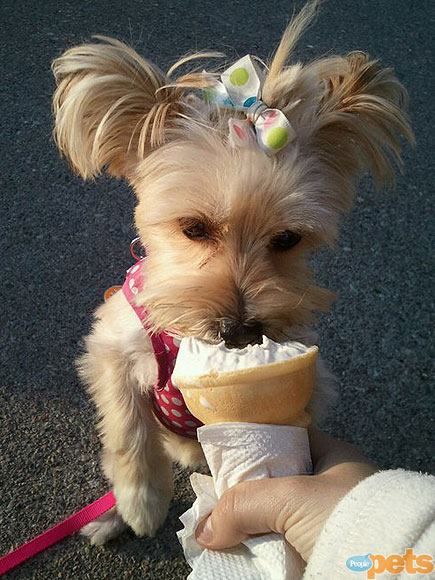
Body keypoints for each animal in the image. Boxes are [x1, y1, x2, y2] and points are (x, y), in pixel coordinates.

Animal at [50, 0, 412, 548]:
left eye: (287, 239)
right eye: (193, 228)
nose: (241, 331)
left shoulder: (311, 384)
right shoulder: (110, 349)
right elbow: (128, 431)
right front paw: (140, 502)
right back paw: (112, 515)